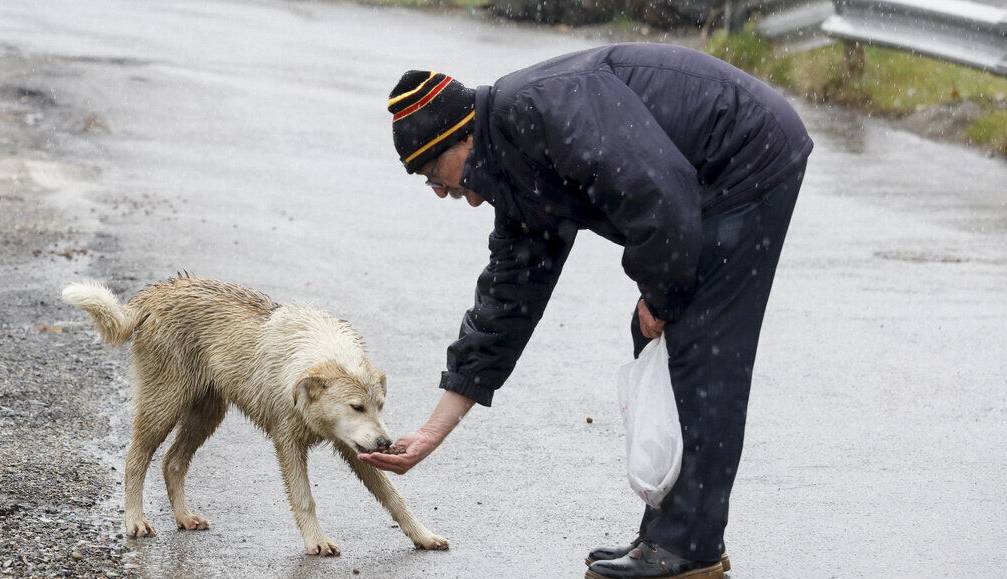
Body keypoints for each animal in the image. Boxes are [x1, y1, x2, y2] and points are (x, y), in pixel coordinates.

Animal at [58, 275, 445, 555]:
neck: (315, 353)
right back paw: (135, 520)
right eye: (356, 406)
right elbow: (305, 499)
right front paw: (316, 542)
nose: (386, 442)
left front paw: (423, 536)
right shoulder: (287, 443)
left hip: (207, 413)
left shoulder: (353, 448)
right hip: (164, 405)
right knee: (136, 458)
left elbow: (395, 499)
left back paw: (184, 517)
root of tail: (157, 293)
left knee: (173, 462)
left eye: (379, 406)